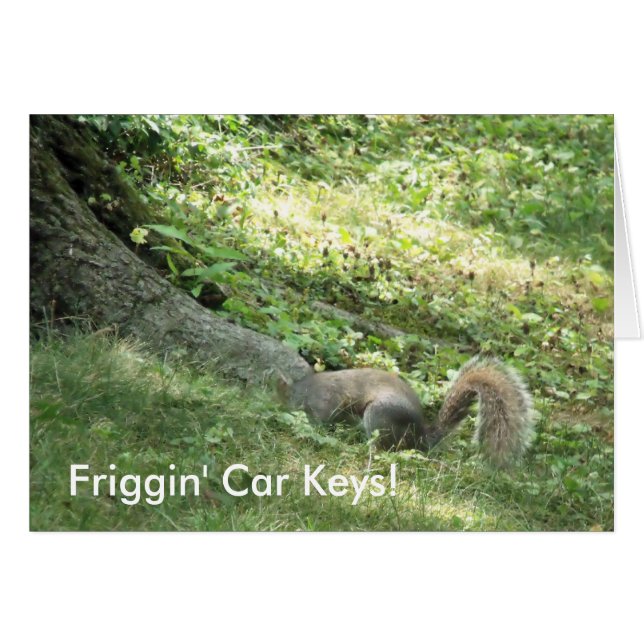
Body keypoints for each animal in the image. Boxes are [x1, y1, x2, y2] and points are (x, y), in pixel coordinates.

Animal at [279, 356, 535, 467]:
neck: (303, 389)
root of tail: (421, 438)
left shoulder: (325, 403)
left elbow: (322, 420)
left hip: (378, 415)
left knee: (383, 448)